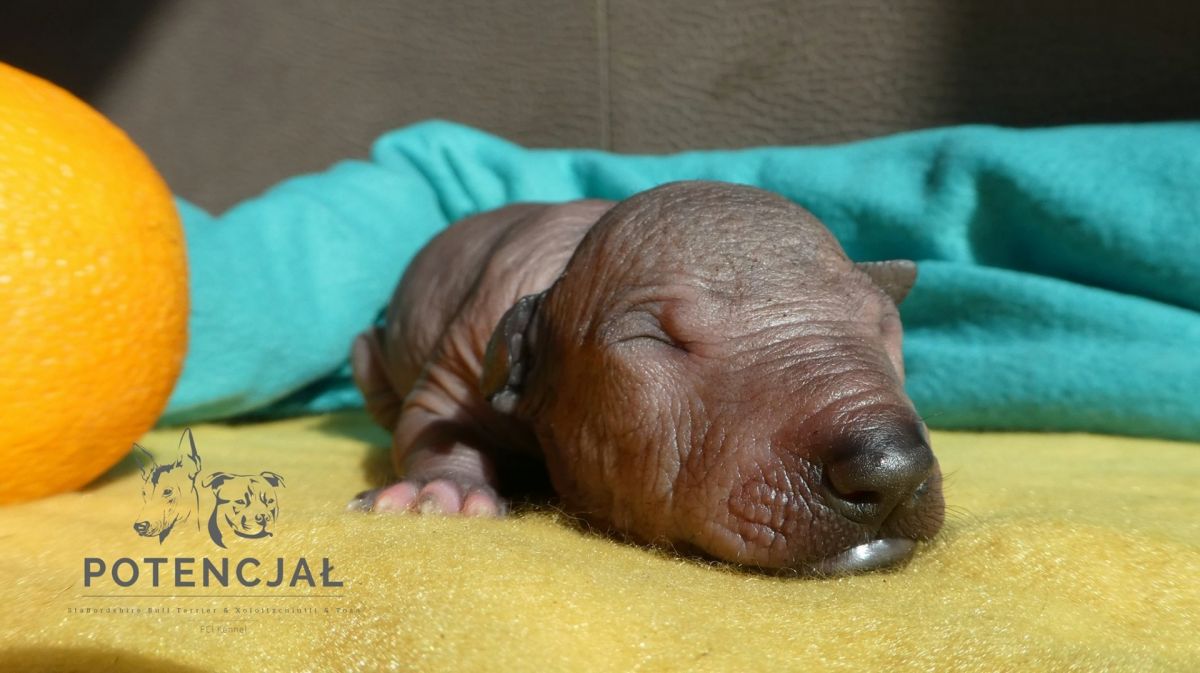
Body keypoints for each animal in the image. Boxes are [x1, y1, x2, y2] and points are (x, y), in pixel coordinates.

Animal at [349, 181, 944, 575]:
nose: (889, 469)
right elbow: (436, 423)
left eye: (883, 324)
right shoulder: (466, 350)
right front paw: (442, 491)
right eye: (653, 340)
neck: (566, 266)